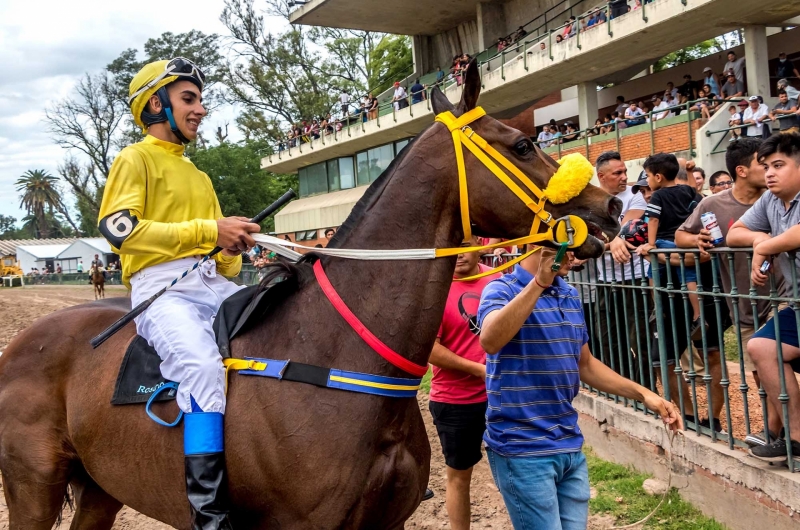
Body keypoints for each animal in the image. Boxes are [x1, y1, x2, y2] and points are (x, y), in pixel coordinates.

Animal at [0, 63, 620, 528]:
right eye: (524, 144)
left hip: (100, 487)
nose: (610, 207)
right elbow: (123, 225)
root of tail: (21, 344)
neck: (334, 353)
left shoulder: (386, 522)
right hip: (33, 487)